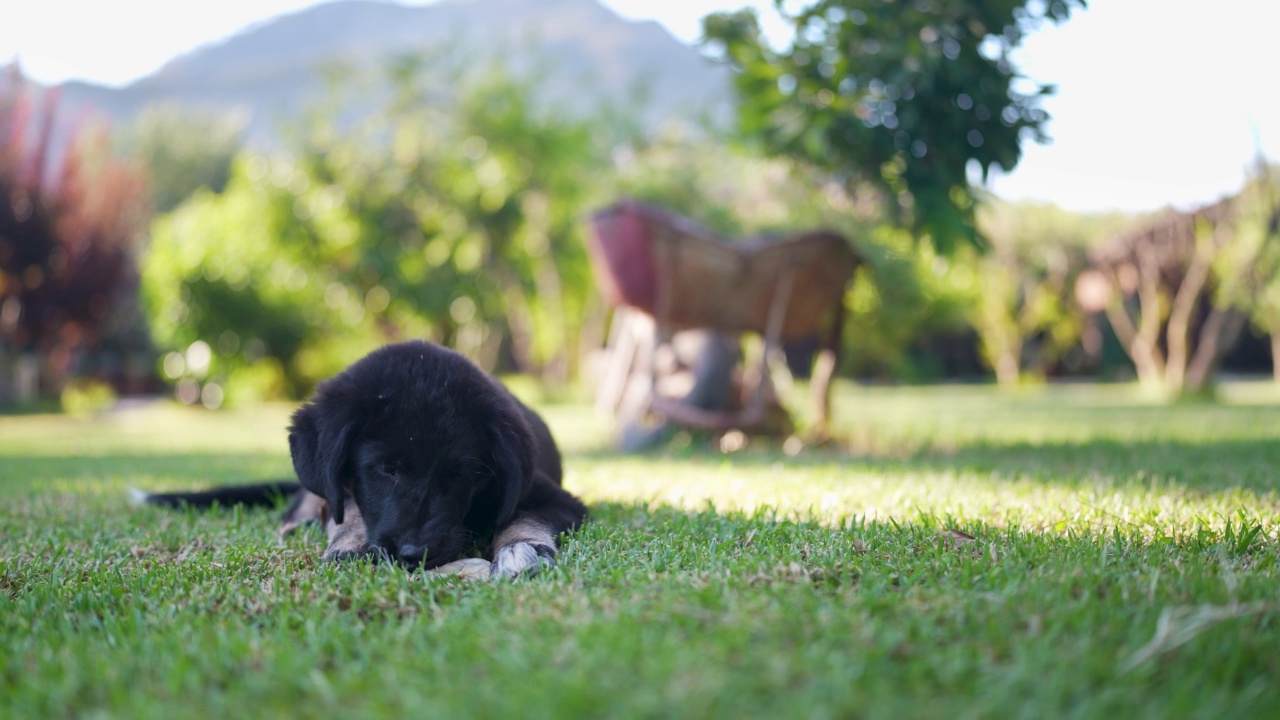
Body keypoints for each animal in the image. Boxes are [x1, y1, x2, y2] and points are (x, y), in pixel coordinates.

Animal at [137, 338, 586, 576]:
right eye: (386, 469)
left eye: (462, 476)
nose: (414, 554)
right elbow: (348, 506)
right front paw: (351, 542)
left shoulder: (554, 496)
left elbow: (521, 514)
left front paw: (523, 547)